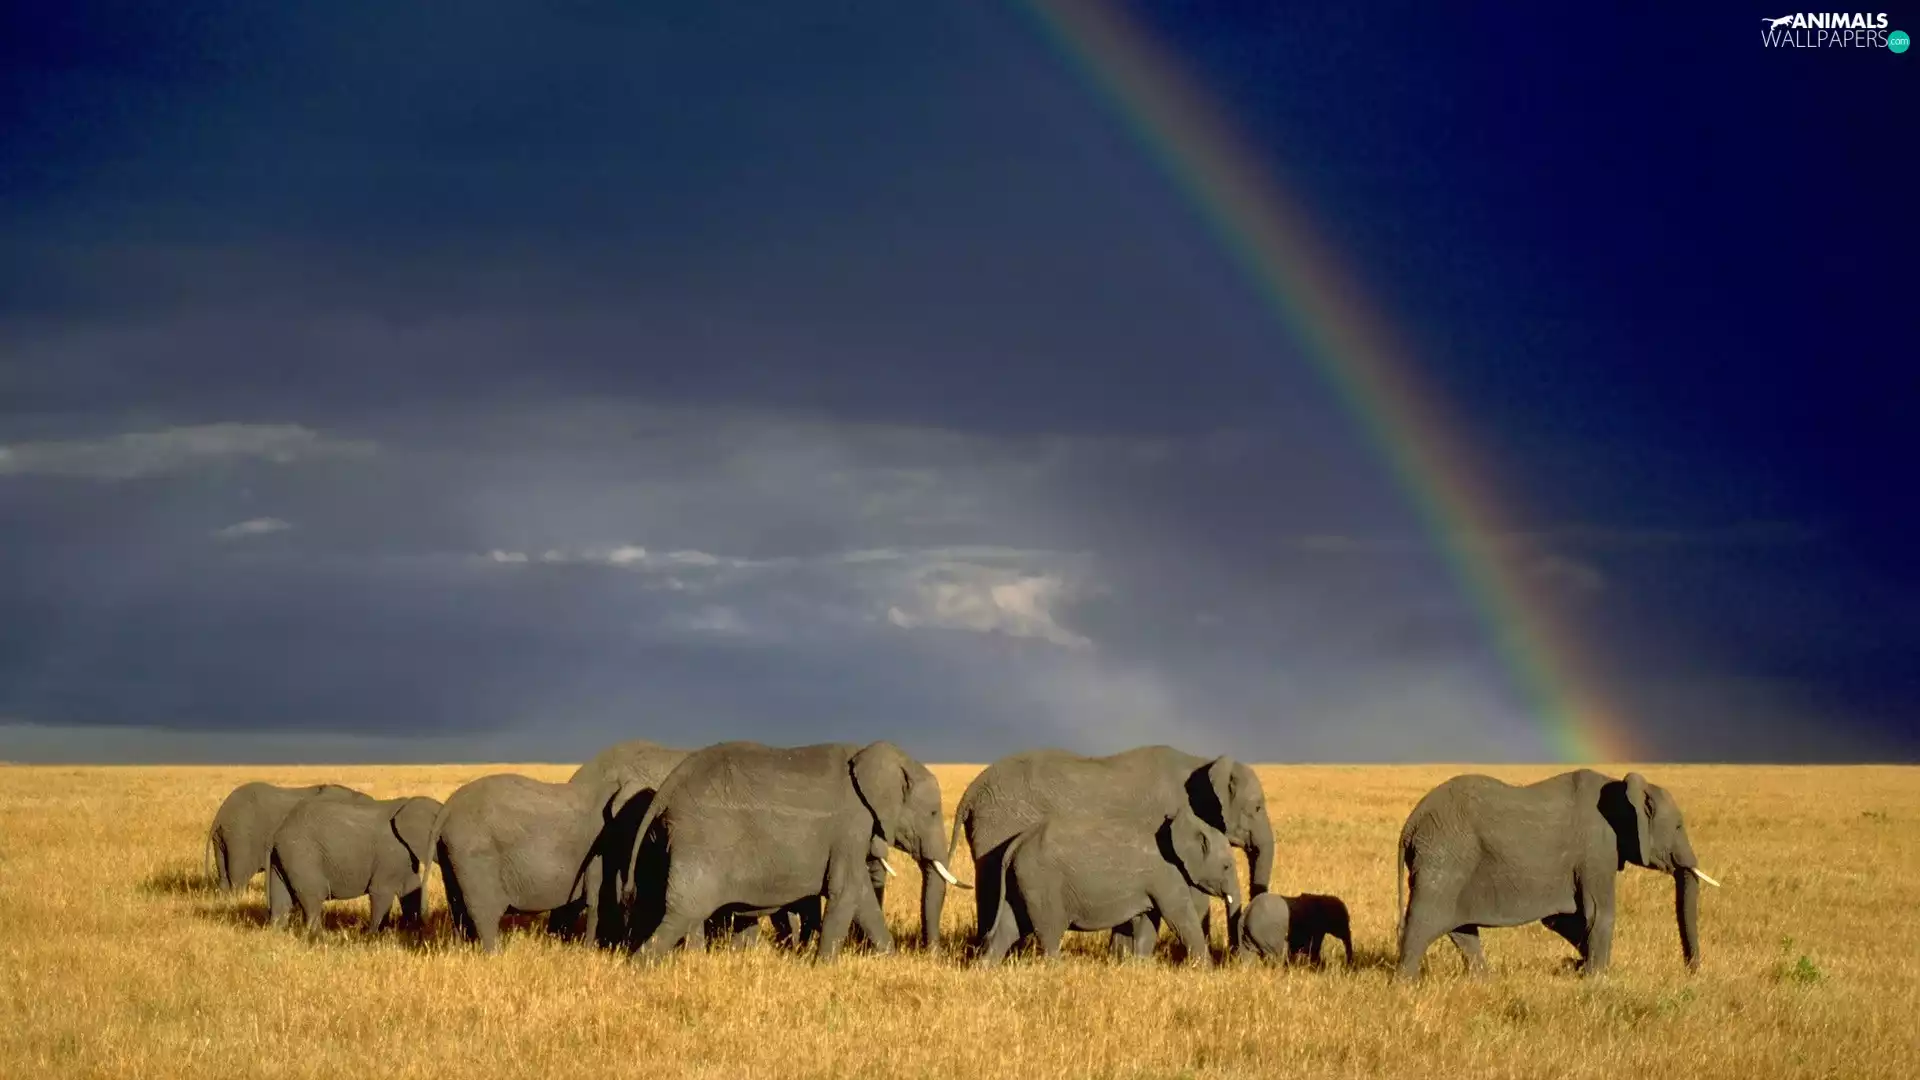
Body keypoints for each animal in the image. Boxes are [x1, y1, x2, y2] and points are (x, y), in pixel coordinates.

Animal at [266, 795, 440, 933]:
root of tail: (279, 831)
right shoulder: (390, 853)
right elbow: (380, 892)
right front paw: (372, 937)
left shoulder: (406, 856)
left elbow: (412, 890)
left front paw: (415, 933)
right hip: (301, 854)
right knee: (313, 896)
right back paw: (318, 939)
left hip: (284, 857)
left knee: (281, 898)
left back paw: (277, 935)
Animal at [427, 773, 630, 953]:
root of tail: (447, 808)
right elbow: (598, 899)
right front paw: (590, 951)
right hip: (475, 854)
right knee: (484, 913)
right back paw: (494, 957)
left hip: (450, 854)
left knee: (457, 908)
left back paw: (459, 954)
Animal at [627, 740, 961, 960]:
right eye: (933, 812)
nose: (932, 958)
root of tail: (669, 786)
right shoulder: (851, 825)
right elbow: (847, 890)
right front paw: (823, 966)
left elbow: (862, 896)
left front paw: (889, 959)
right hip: (702, 836)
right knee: (684, 910)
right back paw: (640, 967)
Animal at [975, 808, 1239, 968]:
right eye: (1227, 866)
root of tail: (1017, 842)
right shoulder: (1166, 874)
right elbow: (1179, 917)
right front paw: (1208, 972)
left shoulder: (1152, 880)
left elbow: (1148, 920)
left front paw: (1140, 967)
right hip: (1042, 882)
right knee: (1049, 929)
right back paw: (1058, 970)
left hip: (1023, 881)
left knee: (1010, 925)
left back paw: (985, 970)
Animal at [1394, 769, 1720, 980]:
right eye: (1678, 826)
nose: (1692, 972)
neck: (1621, 788)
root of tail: (1410, 823)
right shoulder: (1597, 848)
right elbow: (1598, 913)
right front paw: (1597, 979)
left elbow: (1563, 919)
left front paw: (1577, 967)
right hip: (1445, 854)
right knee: (1424, 920)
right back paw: (1405, 986)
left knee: (1461, 928)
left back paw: (1484, 982)